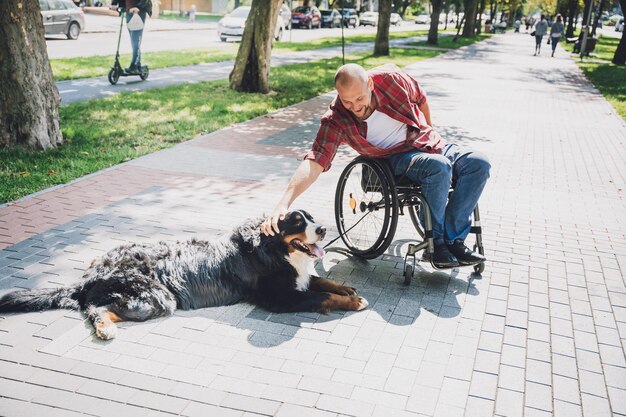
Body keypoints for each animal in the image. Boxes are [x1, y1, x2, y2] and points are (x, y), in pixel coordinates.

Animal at [0, 210, 368, 340]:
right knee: (98, 308)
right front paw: (354, 302)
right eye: (296, 221)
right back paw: (104, 328)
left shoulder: (297, 278)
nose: (323, 229)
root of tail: (95, 270)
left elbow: (321, 281)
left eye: (311, 218)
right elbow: (320, 295)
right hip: (155, 298)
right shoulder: (279, 298)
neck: (271, 248)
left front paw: (349, 289)